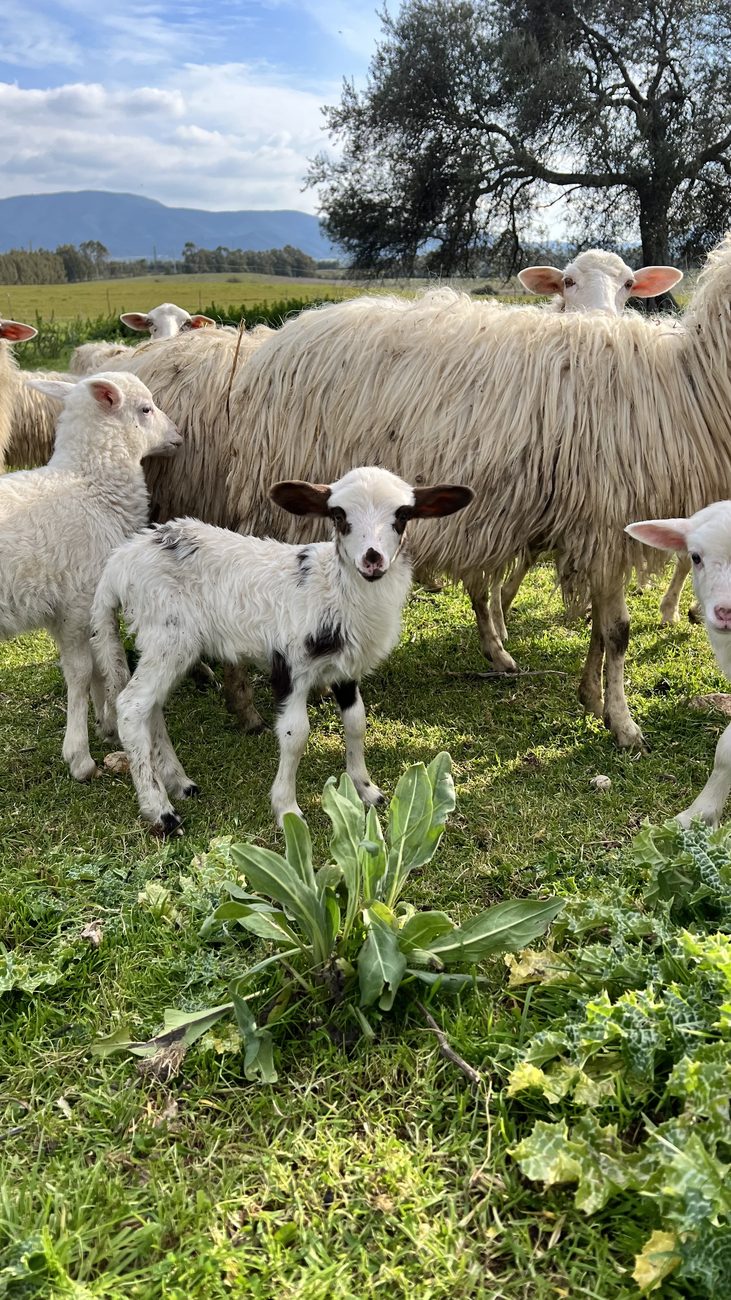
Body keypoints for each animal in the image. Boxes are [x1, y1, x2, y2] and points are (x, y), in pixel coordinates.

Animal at [0, 373, 181, 781]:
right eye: (145, 409)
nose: (179, 436)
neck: (89, 485)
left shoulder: (72, 608)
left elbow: (99, 666)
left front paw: (106, 723)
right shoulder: (76, 602)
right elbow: (81, 672)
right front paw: (79, 756)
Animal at [90, 467, 473, 833]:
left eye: (403, 515)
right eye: (338, 515)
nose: (372, 559)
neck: (333, 590)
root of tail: (119, 563)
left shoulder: (346, 670)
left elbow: (356, 722)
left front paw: (366, 789)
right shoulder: (292, 666)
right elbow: (295, 735)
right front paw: (287, 808)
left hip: (170, 643)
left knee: (152, 707)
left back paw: (179, 783)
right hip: (167, 634)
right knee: (132, 706)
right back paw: (160, 811)